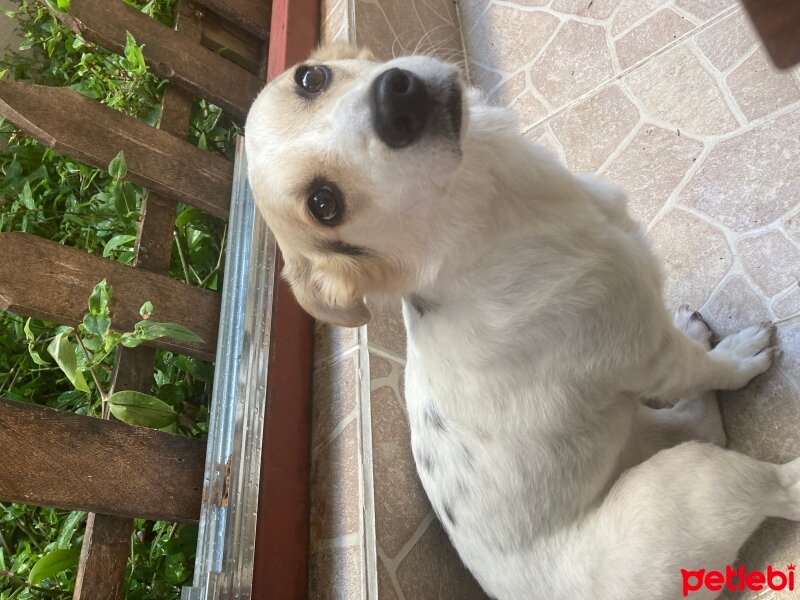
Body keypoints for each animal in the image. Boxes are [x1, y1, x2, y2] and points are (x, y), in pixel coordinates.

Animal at [247, 44, 796, 596]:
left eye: (311, 77)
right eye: (324, 204)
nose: (395, 97)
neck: (489, 221)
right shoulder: (648, 353)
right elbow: (709, 369)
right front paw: (737, 358)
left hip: (642, 434)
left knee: (702, 424)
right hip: (689, 485)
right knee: (776, 482)